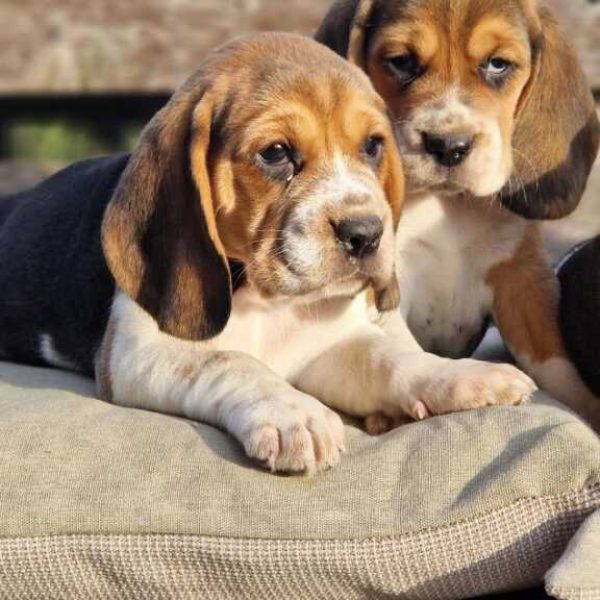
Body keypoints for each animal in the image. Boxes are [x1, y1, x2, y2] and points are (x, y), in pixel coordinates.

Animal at [0, 32, 536, 476]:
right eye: (276, 153)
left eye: (372, 146)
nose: (365, 233)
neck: (266, 303)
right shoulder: (136, 355)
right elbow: (230, 361)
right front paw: (294, 414)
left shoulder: (326, 345)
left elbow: (390, 357)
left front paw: (457, 377)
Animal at [316, 0, 600, 432]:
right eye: (401, 61)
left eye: (497, 65)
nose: (448, 145)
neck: (447, 205)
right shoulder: (387, 282)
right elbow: (403, 349)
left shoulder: (523, 282)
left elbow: (556, 362)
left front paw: (586, 408)